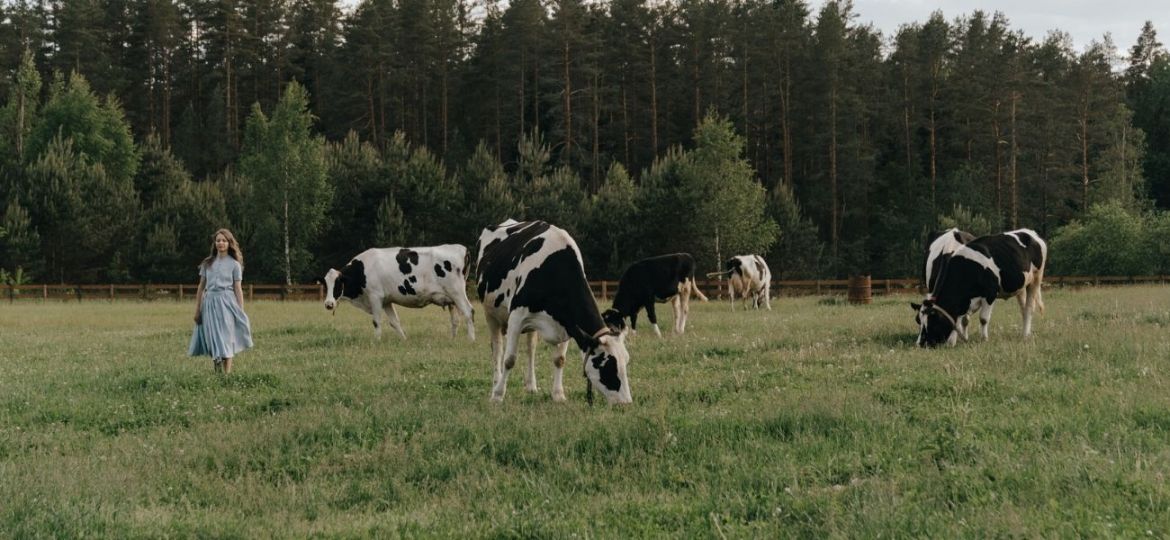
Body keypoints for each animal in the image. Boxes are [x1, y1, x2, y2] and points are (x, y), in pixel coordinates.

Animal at [320, 245, 475, 341]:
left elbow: (376, 321)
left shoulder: (375, 297)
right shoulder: (386, 301)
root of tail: (461, 248)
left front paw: (376, 341)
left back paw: (471, 339)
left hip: (457, 292)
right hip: (451, 299)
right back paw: (452, 340)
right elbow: (394, 322)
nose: (328, 304)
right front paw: (404, 340)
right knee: (455, 320)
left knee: (469, 312)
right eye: (326, 284)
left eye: (338, 284)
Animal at [475, 220, 631, 404]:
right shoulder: (516, 317)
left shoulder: (568, 323)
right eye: (607, 365)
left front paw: (558, 395)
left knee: (531, 348)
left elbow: (559, 360)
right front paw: (498, 395)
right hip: (491, 314)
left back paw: (531, 386)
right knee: (497, 349)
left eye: (626, 361)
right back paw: (495, 384)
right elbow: (509, 359)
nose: (626, 403)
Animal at [907, 226, 1048, 345]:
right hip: (1021, 285)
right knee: (1023, 308)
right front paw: (955, 341)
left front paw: (983, 339)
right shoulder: (963, 300)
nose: (920, 344)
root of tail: (1030, 232)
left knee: (1029, 308)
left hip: (1036, 279)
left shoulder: (990, 293)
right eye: (918, 320)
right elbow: (959, 319)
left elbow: (983, 319)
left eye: (932, 322)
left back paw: (1025, 335)